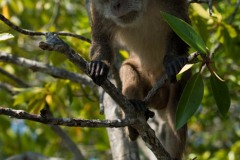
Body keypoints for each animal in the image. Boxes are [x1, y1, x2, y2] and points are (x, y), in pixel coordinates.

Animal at [85, 0, 190, 159]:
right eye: (105, 1)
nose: (116, 5)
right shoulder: (96, 9)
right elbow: (102, 40)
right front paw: (99, 65)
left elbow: (181, 24)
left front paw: (172, 60)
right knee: (127, 68)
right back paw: (135, 116)